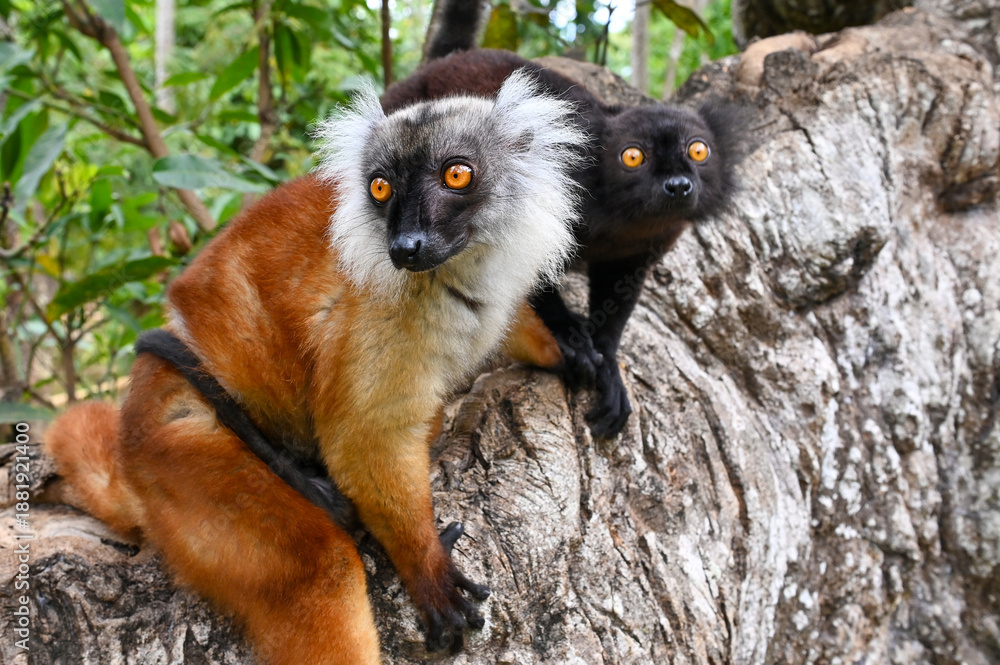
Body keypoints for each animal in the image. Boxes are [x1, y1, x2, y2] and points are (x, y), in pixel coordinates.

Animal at [44, 70, 586, 665]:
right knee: (316, 568)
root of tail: (132, 430)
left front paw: (579, 357)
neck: (456, 271)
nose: (406, 245)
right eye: (380, 188)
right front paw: (425, 568)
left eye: (457, 174)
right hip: (177, 452)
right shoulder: (380, 313)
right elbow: (363, 437)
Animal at [382, 6, 741, 439]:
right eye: (633, 157)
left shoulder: (643, 246)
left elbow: (620, 291)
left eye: (698, 151)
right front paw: (572, 338)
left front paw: (608, 364)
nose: (677, 186)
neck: (623, 216)